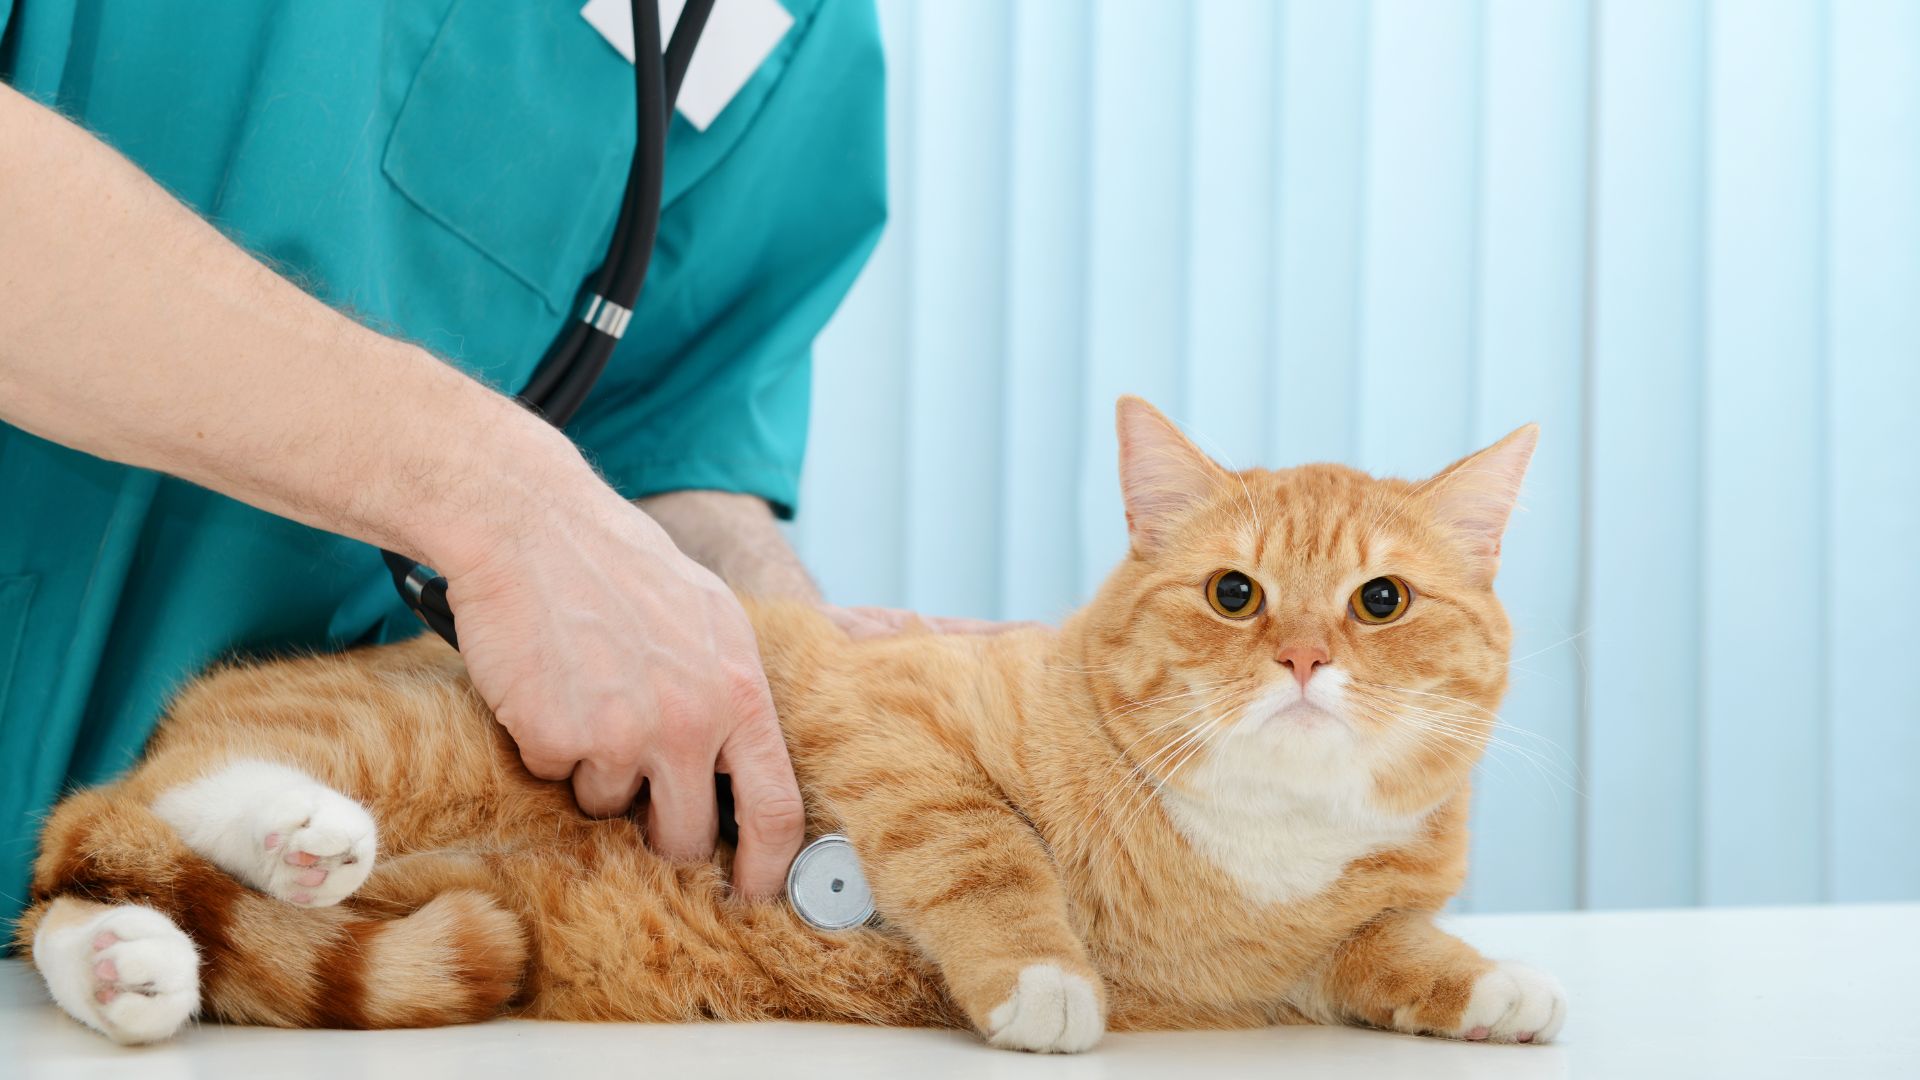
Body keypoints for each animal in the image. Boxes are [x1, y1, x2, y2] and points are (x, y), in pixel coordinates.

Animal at [22, 397, 1566, 1053]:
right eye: (1234, 594)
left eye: (1380, 601)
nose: (1303, 656)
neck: (1249, 852)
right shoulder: (890, 729)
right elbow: (986, 855)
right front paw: (1045, 980)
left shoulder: (1327, 940)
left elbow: (1394, 949)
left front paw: (1494, 987)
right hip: (394, 742)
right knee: (130, 807)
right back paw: (290, 829)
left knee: (110, 895)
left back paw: (129, 971)